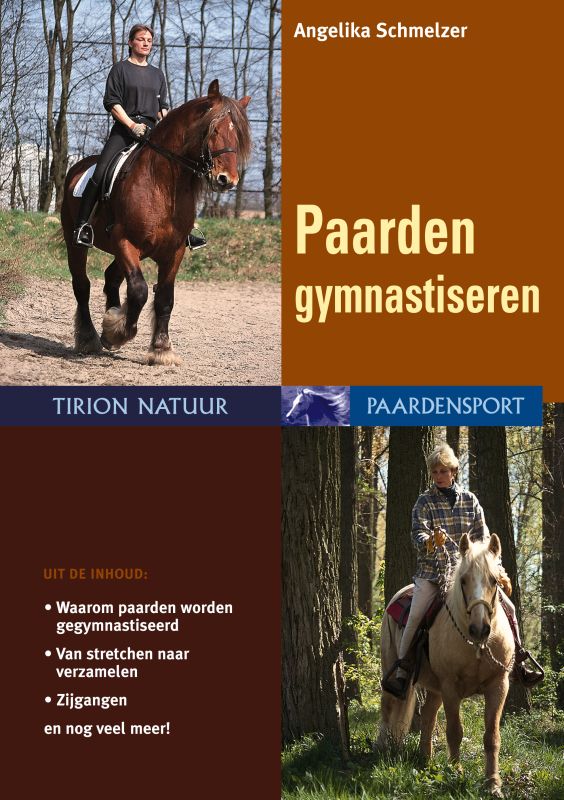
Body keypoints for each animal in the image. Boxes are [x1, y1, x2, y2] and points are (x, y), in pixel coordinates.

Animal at [60, 80, 251, 365]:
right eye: (213, 129)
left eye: (237, 135)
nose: (227, 179)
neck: (162, 184)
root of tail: (77, 168)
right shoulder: (125, 240)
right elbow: (139, 290)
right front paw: (118, 331)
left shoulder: (174, 251)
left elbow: (164, 297)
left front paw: (160, 348)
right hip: (77, 243)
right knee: (82, 285)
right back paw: (89, 337)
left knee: (111, 278)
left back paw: (109, 322)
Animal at [378, 533, 514, 798]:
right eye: (463, 580)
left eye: (494, 580)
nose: (479, 629)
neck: (474, 645)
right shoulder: (451, 687)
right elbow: (454, 731)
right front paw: (456, 774)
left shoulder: (498, 686)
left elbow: (492, 736)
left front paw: (493, 783)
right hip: (393, 667)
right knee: (388, 707)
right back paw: (381, 749)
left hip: (435, 688)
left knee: (428, 715)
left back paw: (425, 761)